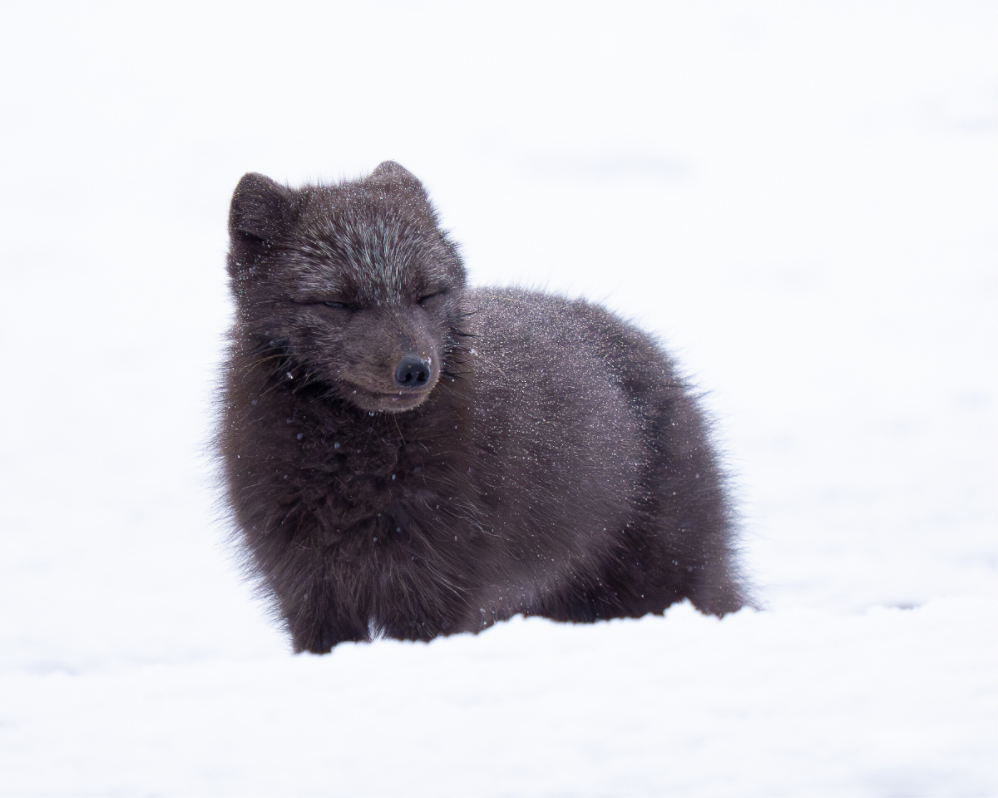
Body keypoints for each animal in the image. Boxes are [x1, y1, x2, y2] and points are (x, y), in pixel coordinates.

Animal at [218, 161, 746, 654]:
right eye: (337, 302)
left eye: (425, 294)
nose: (415, 369)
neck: (354, 465)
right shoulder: (308, 590)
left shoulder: (436, 590)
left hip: (659, 579)